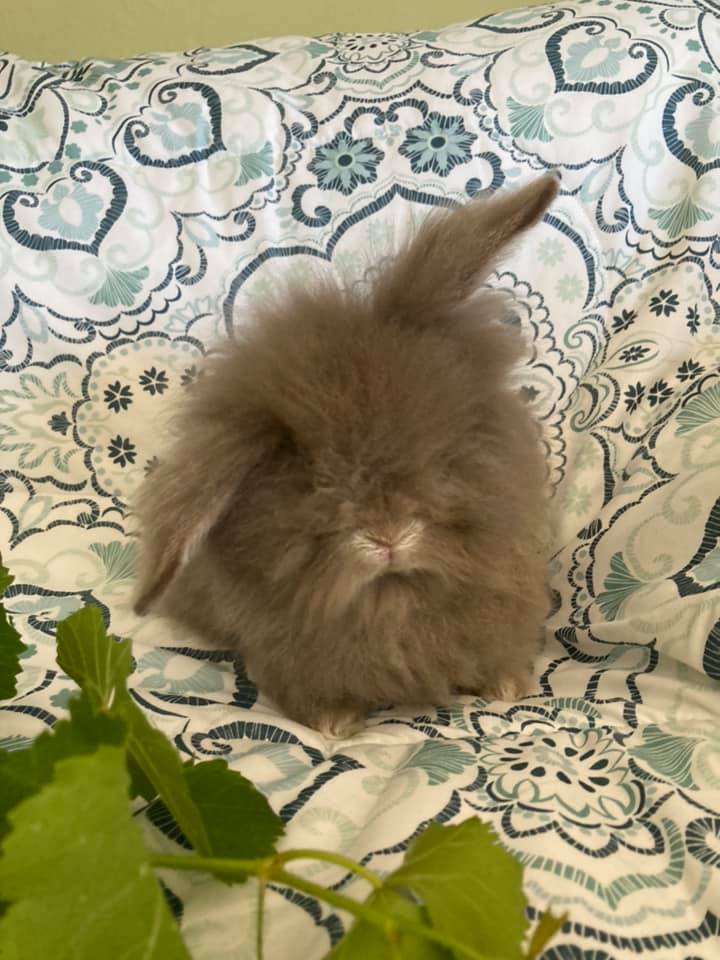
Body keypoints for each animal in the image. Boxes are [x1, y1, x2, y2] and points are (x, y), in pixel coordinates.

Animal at [132, 172, 559, 739]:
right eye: (311, 479)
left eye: (443, 453)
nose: (388, 536)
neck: (394, 599)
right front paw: (335, 724)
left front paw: (509, 686)